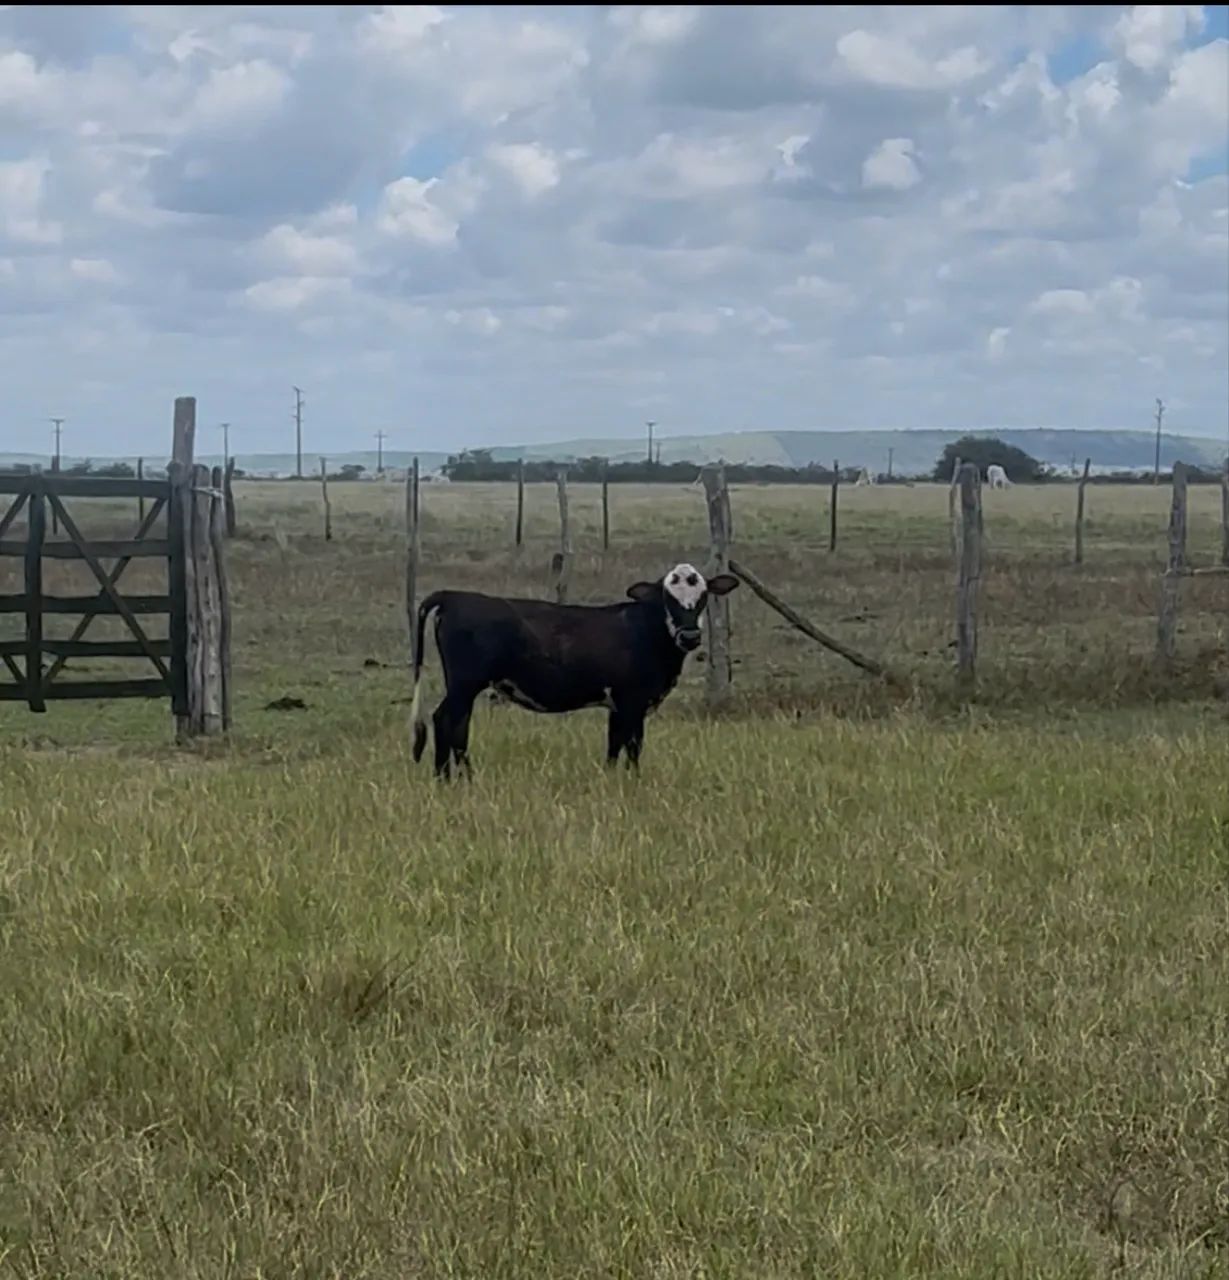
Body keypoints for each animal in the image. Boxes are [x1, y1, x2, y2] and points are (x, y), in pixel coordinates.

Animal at [408, 563, 739, 778]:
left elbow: (613, 745)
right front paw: (633, 781)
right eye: (667, 597)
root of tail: (453, 596)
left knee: (455, 725)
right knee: (447, 721)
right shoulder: (632, 701)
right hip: (464, 683)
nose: (690, 637)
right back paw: (448, 778)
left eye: (703, 597)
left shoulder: (617, 705)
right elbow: (633, 746)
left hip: (464, 686)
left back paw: (457, 777)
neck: (645, 629)